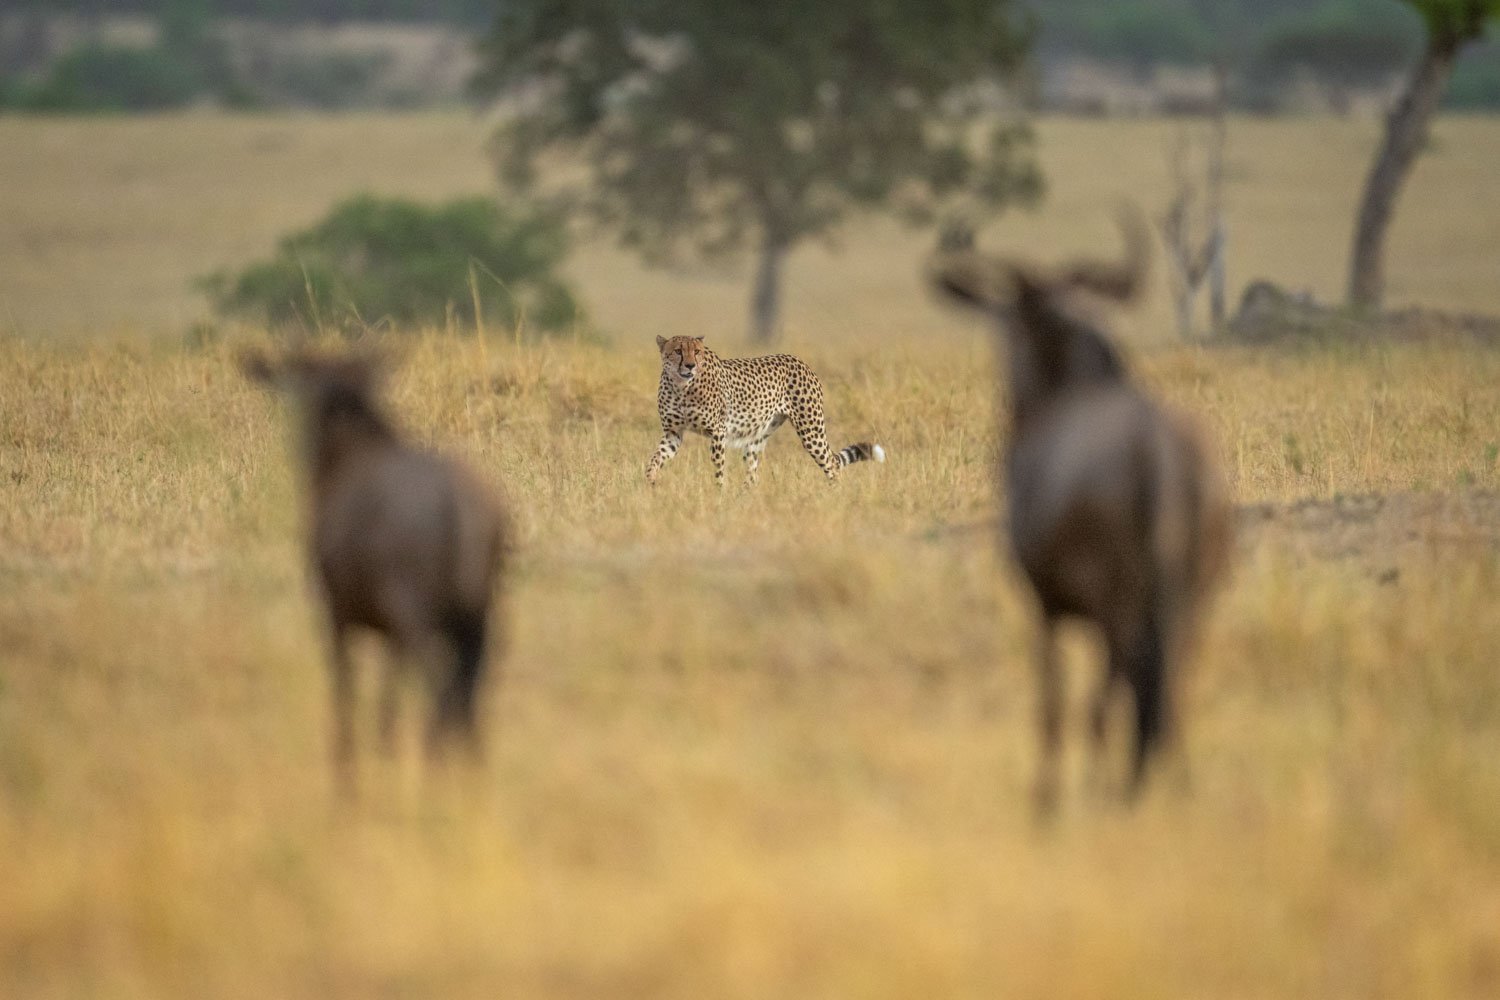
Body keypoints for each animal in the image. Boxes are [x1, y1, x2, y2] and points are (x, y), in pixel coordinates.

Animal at [642, 335, 876, 488]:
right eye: (678, 351)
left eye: (697, 351)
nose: (690, 365)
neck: (681, 387)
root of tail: (800, 361)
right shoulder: (674, 433)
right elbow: (655, 458)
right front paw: (650, 481)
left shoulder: (718, 432)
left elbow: (718, 468)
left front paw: (719, 495)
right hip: (755, 438)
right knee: (753, 475)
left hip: (811, 431)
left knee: (832, 464)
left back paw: (834, 494)